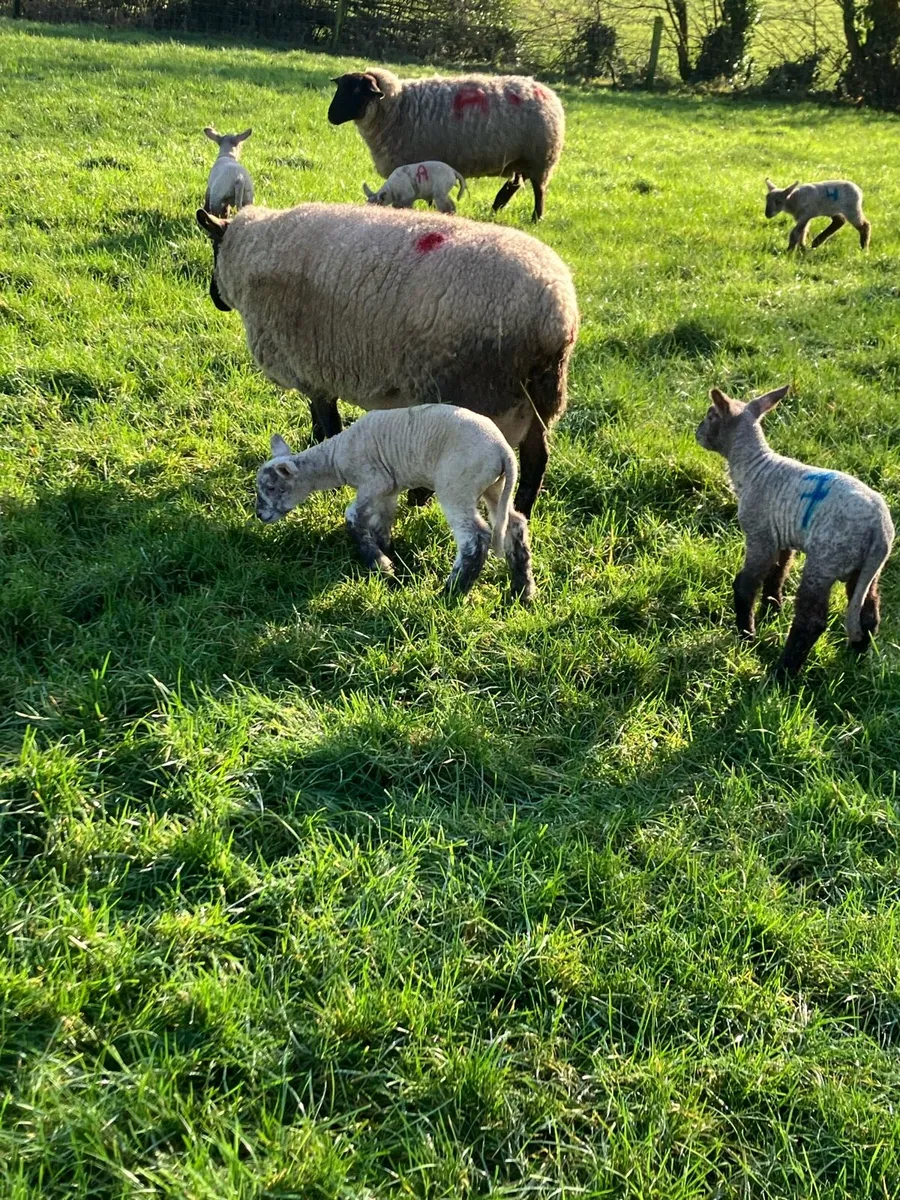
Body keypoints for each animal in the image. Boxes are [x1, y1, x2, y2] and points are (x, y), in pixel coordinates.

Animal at [196, 202, 579, 519]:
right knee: (536, 459)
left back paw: (422, 497)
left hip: (475, 391)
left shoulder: (312, 365)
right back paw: (522, 511)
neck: (254, 250)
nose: (214, 299)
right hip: (539, 401)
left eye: (213, 247)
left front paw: (320, 449)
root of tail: (554, 317)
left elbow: (327, 422)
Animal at [255, 406, 536, 600]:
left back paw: (451, 592)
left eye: (271, 488)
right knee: (514, 524)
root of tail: (503, 451)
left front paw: (380, 565)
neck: (334, 458)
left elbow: (353, 517)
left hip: (457, 484)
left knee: (475, 537)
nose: (259, 515)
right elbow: (383, 521)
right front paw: (388, 552)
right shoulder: (388, 488)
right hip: (494, 486)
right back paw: (523, 590)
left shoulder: (373, 481)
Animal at [327, 69, 564, 222]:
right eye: (340, 88)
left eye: (356, 91)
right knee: (513, 186)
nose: (330, 116)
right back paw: (495, 208)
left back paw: (536, 218)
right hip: (521, 159)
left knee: (539, 191)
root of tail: (547, 92)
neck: (398, 106)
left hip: (541, 159)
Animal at [696, 384, 893, 677]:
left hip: (824, 562)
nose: (696, 432)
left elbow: (746, 584)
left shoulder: (760, 537)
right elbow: (777, 573)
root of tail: (880, 531)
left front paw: (747, 634)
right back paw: (857, 655)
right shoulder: (782, 537)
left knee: (811, 620)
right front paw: (772, 608)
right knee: (867, 611)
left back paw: (783, 673)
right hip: (865, 570)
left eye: (711, 416)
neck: (753, 465)